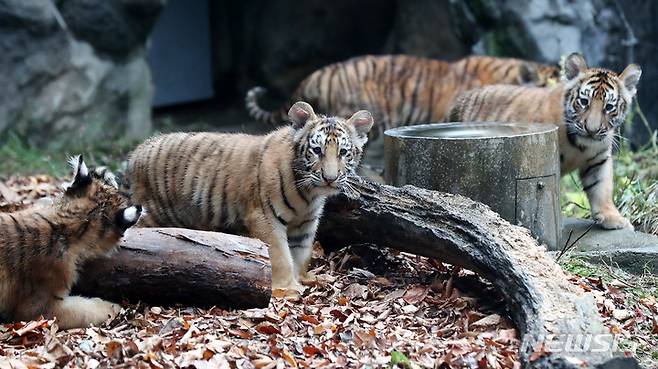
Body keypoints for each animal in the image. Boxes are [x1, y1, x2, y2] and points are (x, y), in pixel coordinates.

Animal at [125, 100, 372, 294]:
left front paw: (303, 280)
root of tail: (136, 152)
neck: (309, 194)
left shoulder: (305, 224)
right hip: (153, 212)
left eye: (343, 153)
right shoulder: (265, 217)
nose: (330, 178)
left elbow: (300, 254)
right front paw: (287, 289)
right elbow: (280, 255)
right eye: (317, 150)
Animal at [448, 51, 640, 230]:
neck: (580, 146)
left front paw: (613, 218)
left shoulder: (598, 160)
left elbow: (601, 187)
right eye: (584, 101)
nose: (592, 130)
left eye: (609, 107)